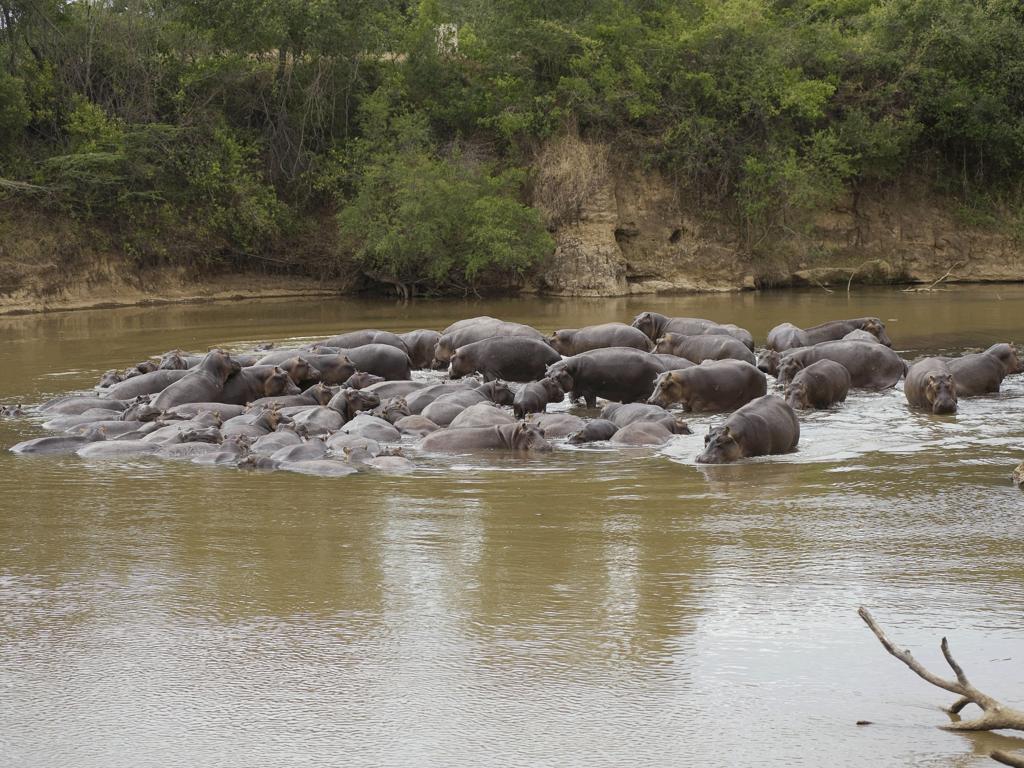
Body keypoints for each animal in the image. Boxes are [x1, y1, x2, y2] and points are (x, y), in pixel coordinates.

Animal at [774, 342, 905, 391]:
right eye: (777, 368)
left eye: (791, 368)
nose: (778, 385)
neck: (801, 360)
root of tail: (899, 359)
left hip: (884, 382)